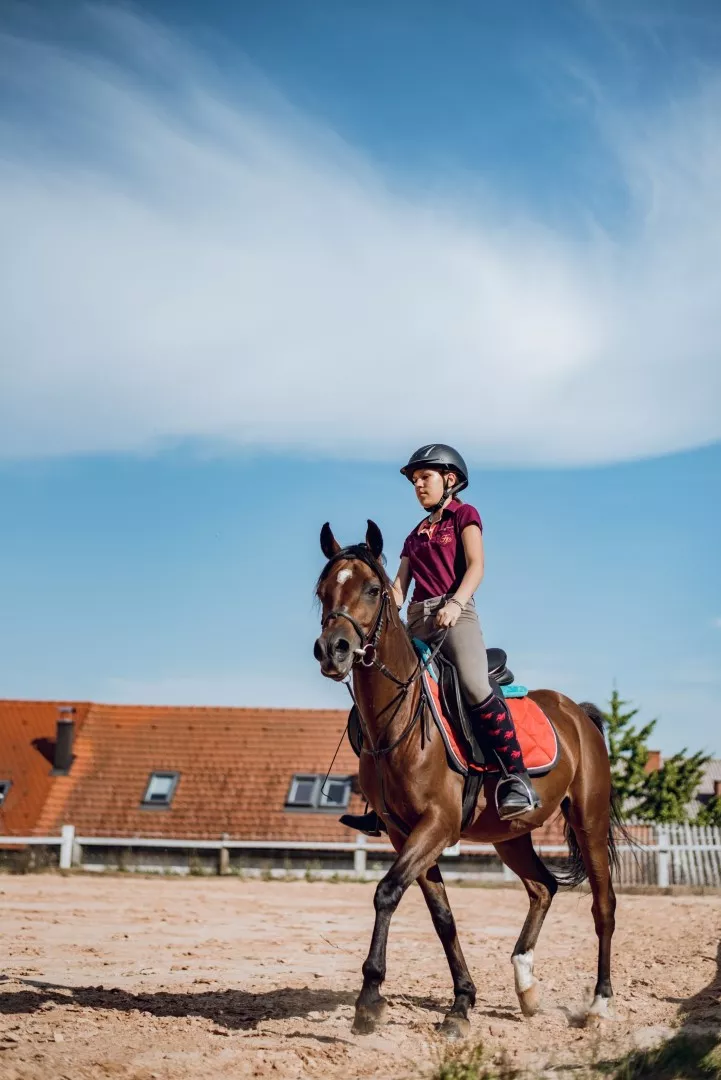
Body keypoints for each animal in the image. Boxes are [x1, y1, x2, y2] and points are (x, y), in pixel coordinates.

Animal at [313, 520, 620, 1039]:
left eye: (373, 590)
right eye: (321, 593)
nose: (332, 650)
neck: (400, 721)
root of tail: (577, 712)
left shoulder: (436, 825)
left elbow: (386, 893)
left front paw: (369, 1000)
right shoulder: (402, 832)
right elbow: (443, 917)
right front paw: (461, 1003)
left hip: (589, 823)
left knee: (603, 906)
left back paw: (599, 1005)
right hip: (510, 835)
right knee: (543, 888)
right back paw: (526, 987)